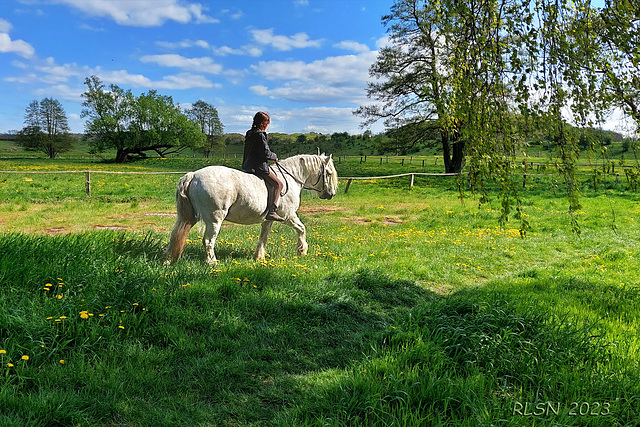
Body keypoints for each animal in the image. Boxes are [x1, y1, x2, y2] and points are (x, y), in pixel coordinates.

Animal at [162, 154, 338, 266]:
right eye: (329, 173)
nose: (331, 194)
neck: (290, 178)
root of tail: (193, 175)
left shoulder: (268, 220)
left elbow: (263, 237)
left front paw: (259, 257)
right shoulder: (288, 216)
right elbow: (302, 229)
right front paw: (302, 251)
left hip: (188, 217)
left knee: (176, 235)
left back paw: (168, 260)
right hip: (214, 219)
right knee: (208, 241)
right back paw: (212, 263)